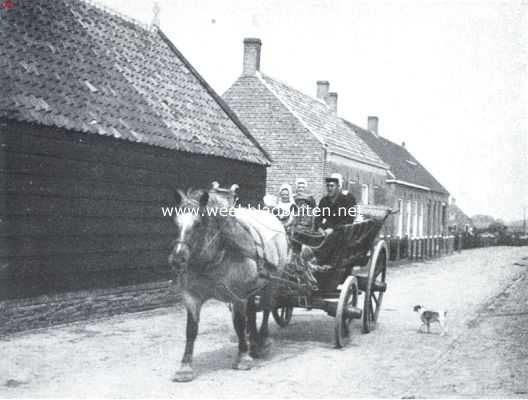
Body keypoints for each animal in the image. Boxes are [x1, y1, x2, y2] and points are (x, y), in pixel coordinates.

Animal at [167, 188, 288, 382]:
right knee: (252, 312)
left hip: (272, 282)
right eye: (175, 222)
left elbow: (239, 323)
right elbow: (191, 330)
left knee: (266, 308)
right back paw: (254, 341)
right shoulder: (191, 296)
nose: (177, 259)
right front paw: (185, 368)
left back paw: (262, 341)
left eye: (198, 224)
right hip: (252, 289)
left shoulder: (238, 295)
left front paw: (242, 358)